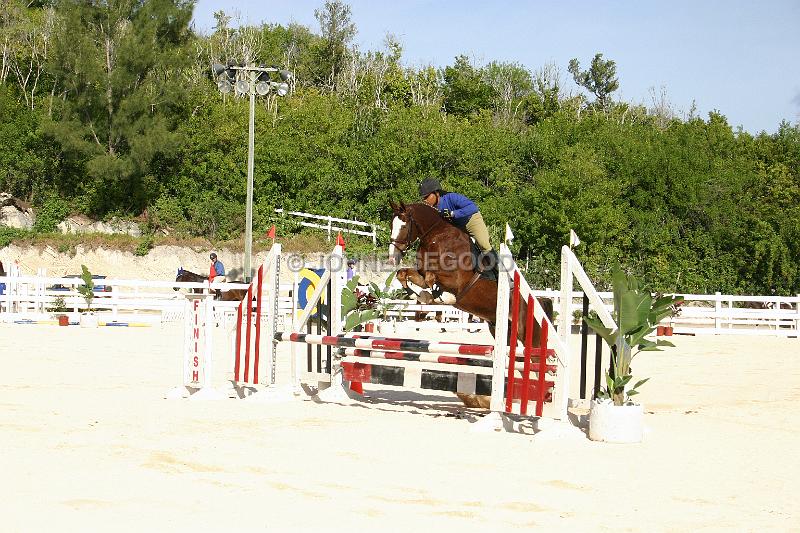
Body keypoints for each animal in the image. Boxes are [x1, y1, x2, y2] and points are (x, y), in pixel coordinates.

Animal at [386, 204, 552, 408]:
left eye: (403, 225)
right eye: (391, 224)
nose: (392, 258)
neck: (435, 236)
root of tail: (538, 301)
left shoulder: (455, 278)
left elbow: (432, 279)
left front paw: (441, 297)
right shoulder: (420, 272)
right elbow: (405, 274)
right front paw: (421, 295)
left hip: (527, 333)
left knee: (537, 362)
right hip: (499, 330)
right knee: (520, 363)